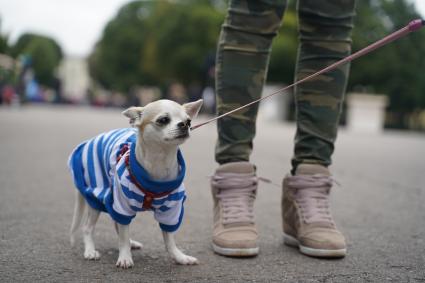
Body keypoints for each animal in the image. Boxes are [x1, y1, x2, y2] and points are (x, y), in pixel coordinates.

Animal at [67, 99, 202, 268]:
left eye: (189, 121)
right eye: (163, 120)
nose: (185, 124)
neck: (159, 162)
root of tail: (88, 143)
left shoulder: (171, 211)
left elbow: (169, 239)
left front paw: (179, 257)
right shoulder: (122, 205)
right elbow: (123, 235)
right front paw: (125, 256)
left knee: (116, 224)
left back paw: (131, 243)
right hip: (97, 196)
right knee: (88, 227)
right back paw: (90, 251)